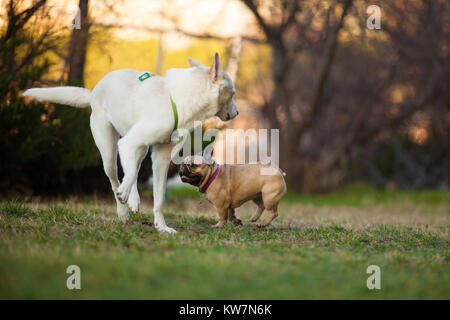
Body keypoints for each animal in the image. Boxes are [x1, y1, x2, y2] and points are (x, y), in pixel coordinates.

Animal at [22, 52, 239, 232]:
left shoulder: (160, 158)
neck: (178, 100)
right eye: (233, 93)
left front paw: (161, 227)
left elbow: (158, 197)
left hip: (139, 148)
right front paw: (125, 196)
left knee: (133, 167)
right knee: (116, 178)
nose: (237, 113)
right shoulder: (127, 144)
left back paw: (133, 200)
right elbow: (131, 173)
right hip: (110, 151)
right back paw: (123, 210)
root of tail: (94, 91)